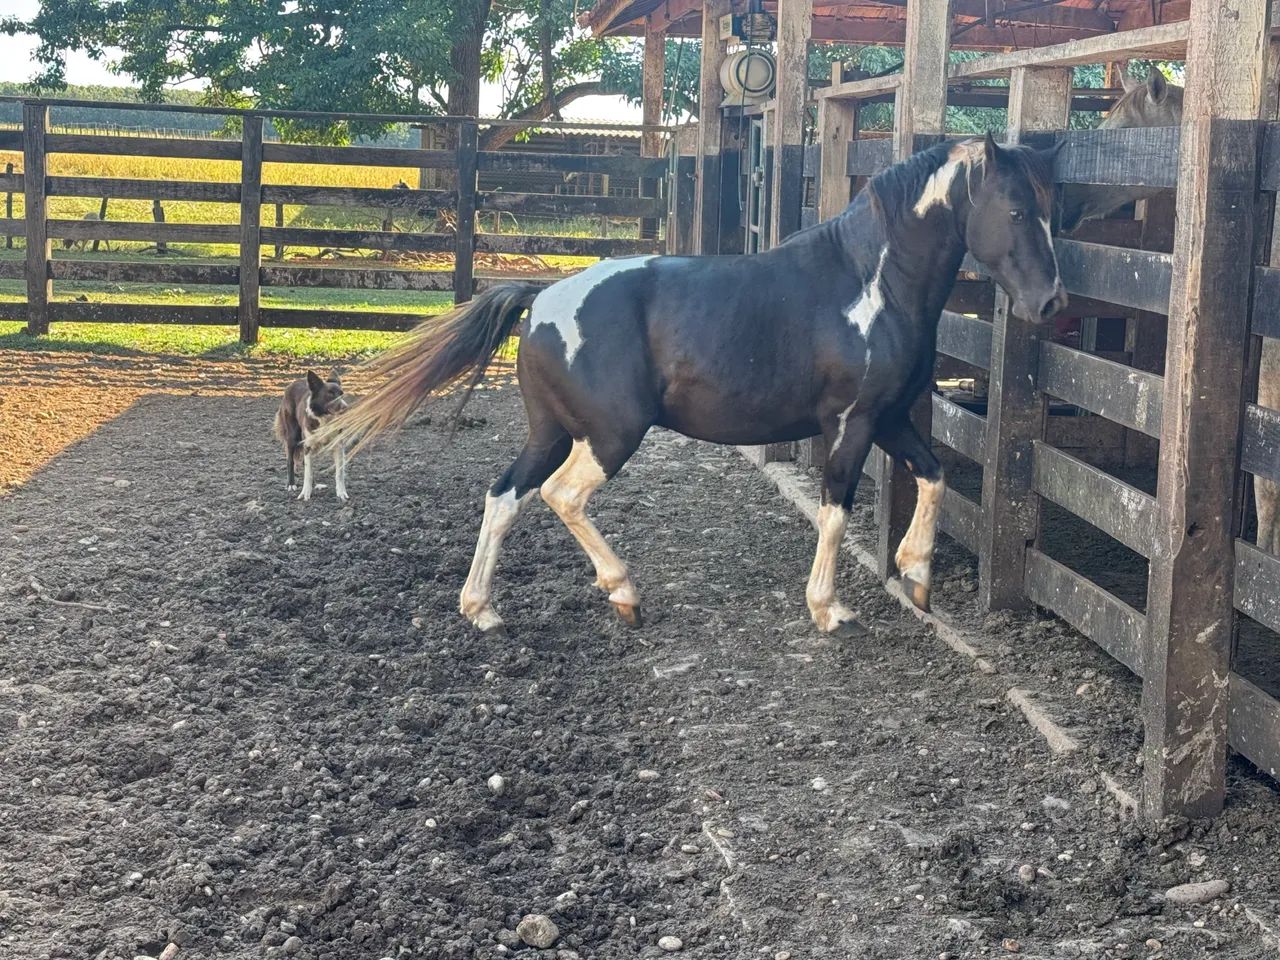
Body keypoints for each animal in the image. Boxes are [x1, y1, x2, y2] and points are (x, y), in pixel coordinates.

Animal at [315, 133, 1066, 636]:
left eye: (1050, 207)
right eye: (1016, 209)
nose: (1051, 301)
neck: (869, 283)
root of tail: (543, 295)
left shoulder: (890, 419)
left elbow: (934, 477)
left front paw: (916, 575)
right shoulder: (849, 425)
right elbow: (836, 509)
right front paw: (828, 608)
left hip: (552, 432)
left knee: (504, 496)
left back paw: (483, 609)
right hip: (609, 435)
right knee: (561, 497)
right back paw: (622, 592)